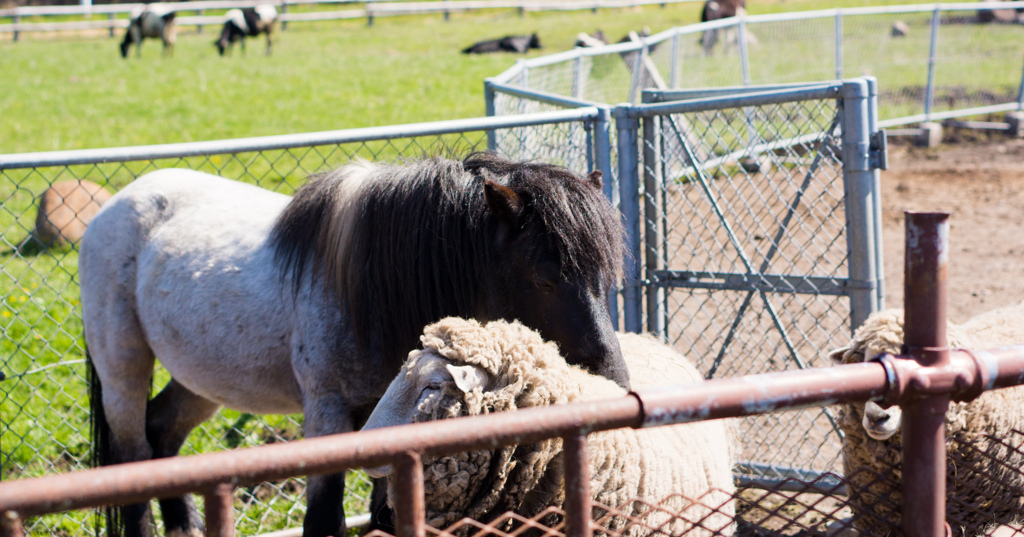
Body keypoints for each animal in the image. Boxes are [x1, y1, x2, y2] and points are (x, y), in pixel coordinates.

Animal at [79, 152, 626, 537]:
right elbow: (324, 520)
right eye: (544, 279)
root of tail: (115, 206)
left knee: (163, 435)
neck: (371, 291)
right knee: (132, 457)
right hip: (123, 369)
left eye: (606, 276)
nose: (617, 381)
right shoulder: (327, 413)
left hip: (202, 380)